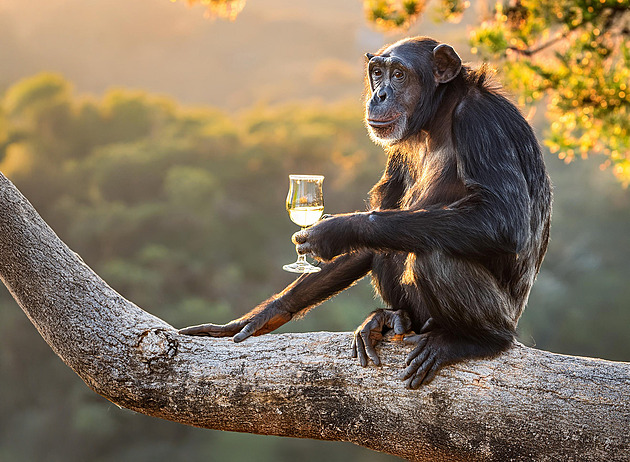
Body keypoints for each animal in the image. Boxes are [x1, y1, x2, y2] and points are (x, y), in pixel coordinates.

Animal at [181, 37, 552, 390]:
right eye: (377, 73)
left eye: (399, 74)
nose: (380, 93)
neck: (438, 118)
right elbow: (377, 224)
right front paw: (260, 316)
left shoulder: (481, 122)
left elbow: (502, 219)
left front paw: (336, 231)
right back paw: (392, 319)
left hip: (500, 319)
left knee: (434, 255)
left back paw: (472, 340)